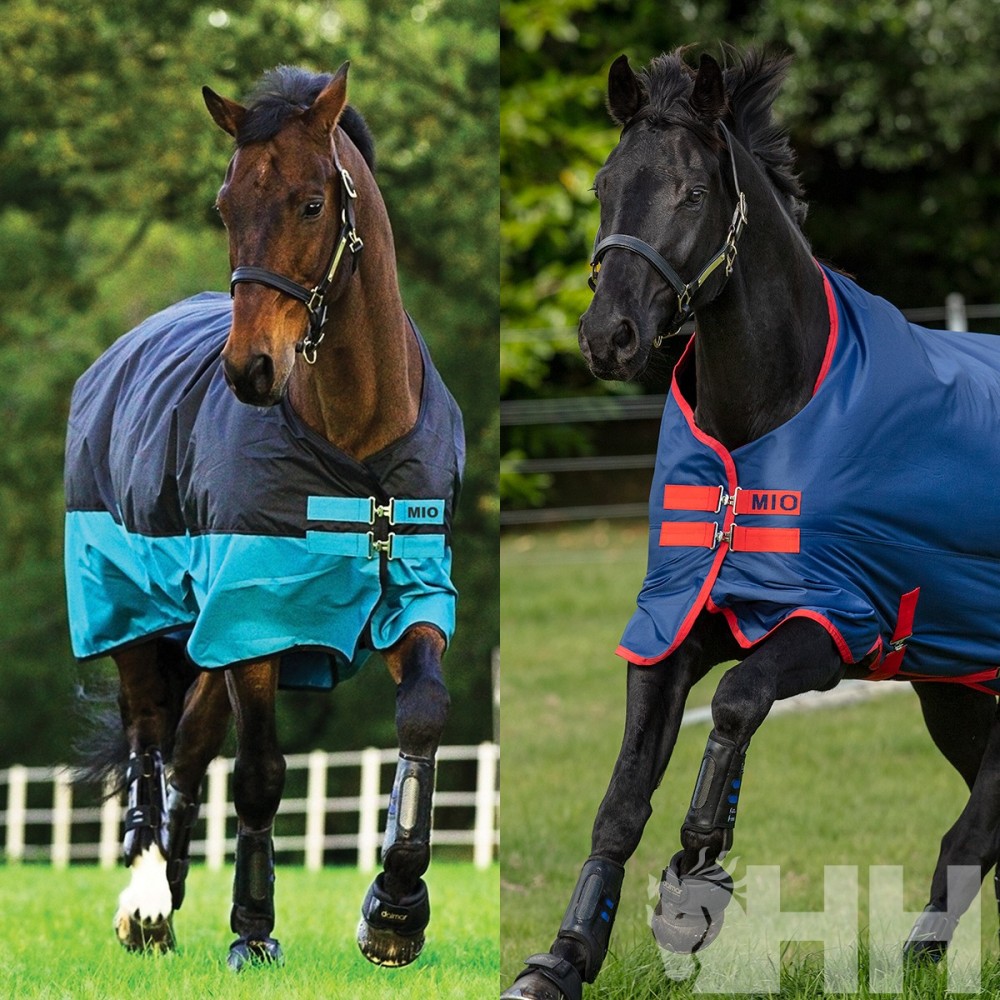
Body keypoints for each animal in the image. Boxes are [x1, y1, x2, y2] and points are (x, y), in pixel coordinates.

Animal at [65, 62, 464, 970]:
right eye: (226, 205)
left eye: (312, 203)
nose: (249, 369)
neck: (355, 442)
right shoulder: (256, 618)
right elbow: (260, 775)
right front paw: (253, 931)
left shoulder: (413, 593)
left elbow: (423, 716)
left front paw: (395, 911)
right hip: (136, 614)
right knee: (151, 740)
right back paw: (147, 902)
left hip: (205, 639)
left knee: (186, 750)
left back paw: (169, 896)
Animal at [502, 48, 1000, 1000]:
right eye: (604, 184)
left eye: (693, 193)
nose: (609, 336)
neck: (768, 420)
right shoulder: (673, 625)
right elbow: (620, 799)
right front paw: (563, 958)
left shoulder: (831, 623)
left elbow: (735, 703)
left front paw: (691, 889)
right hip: (956, 690)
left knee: (977, 827)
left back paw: (918, 957)